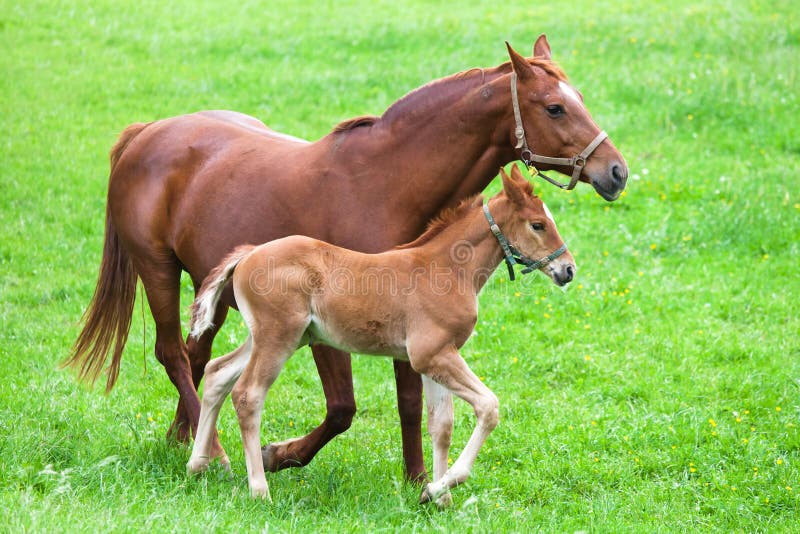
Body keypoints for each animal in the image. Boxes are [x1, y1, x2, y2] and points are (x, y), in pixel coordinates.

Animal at [186, 165, 576, 506]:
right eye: (538, 224)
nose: (568, 269)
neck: (447, 268)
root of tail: (250, 252)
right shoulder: (432, 354)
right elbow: (488, 407)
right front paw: (442, 486)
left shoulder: (435, 358)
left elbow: (442, 425)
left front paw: (437, 497)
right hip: (277, 338)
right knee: (248, 395)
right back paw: (259, 489)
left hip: (275, 337)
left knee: (217, 373)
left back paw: (197, 464)